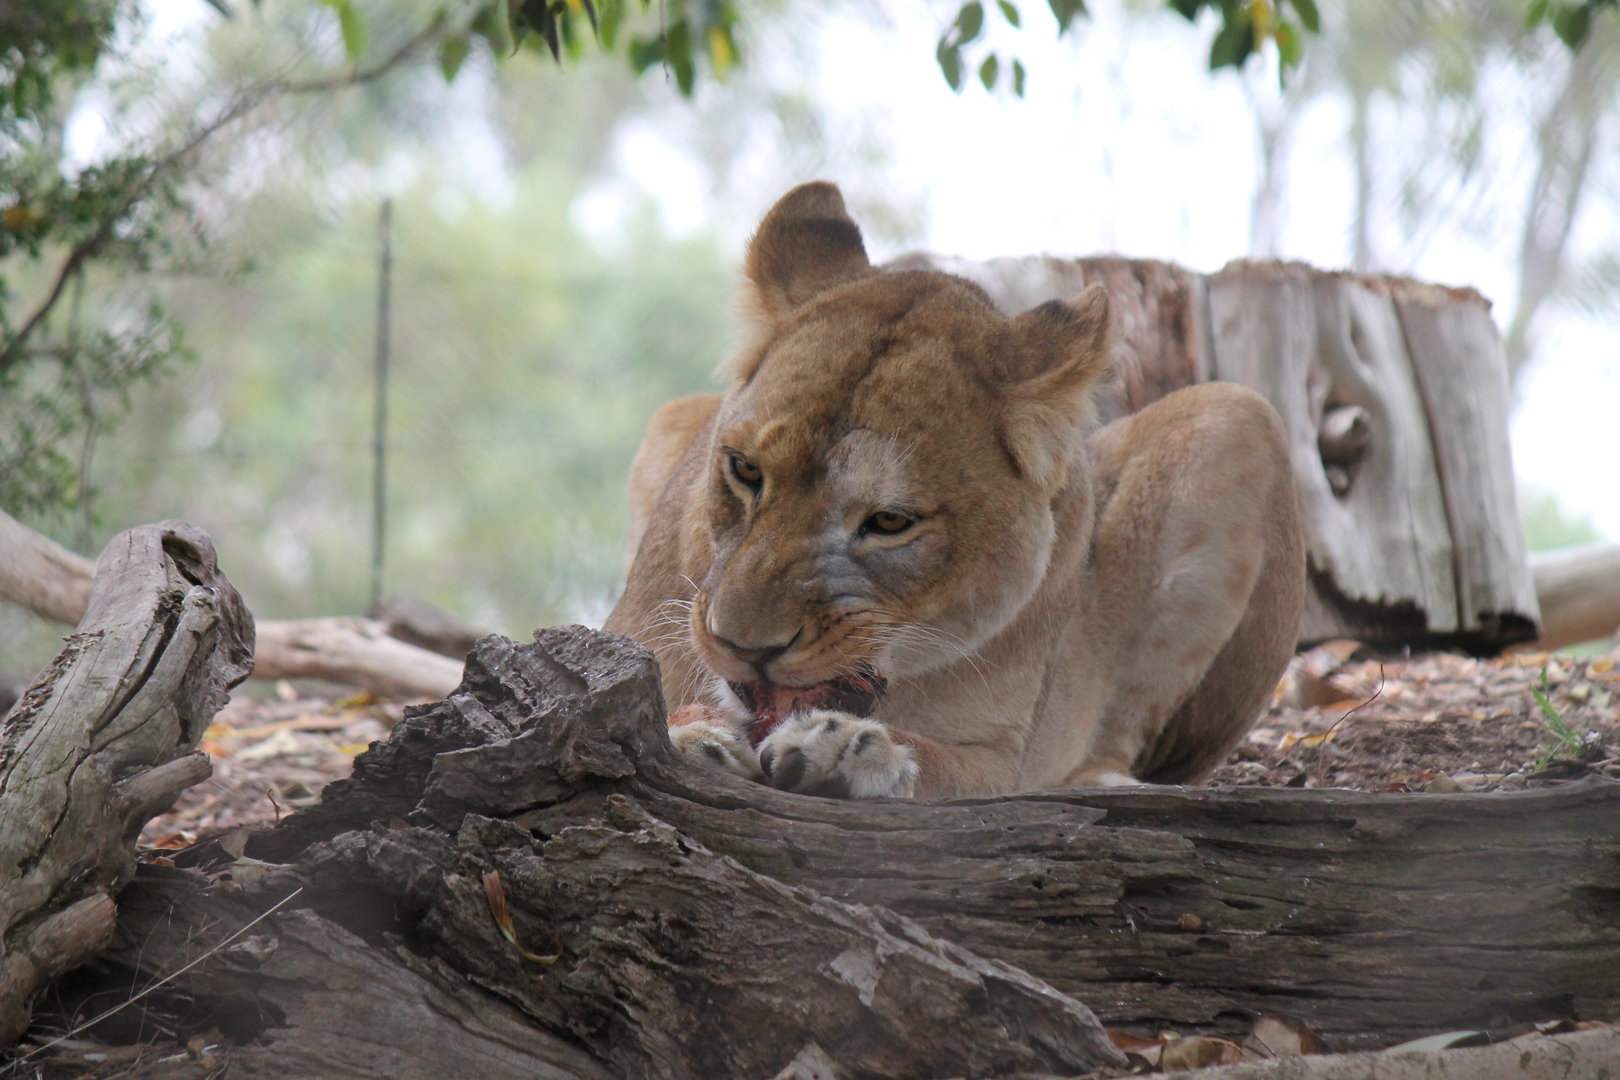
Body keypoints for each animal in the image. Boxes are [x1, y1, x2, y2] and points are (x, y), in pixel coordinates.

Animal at [603, 182, 1305, 799]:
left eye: (890, 522)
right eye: (746, 471)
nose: (745, 650)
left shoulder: (1004, 758)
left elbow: (940, 764)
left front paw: (853, 749)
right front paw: (693, 737)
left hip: (1236, 414)